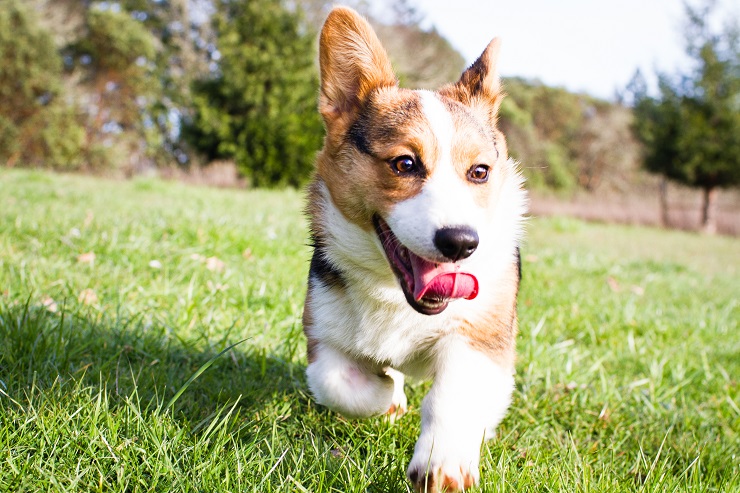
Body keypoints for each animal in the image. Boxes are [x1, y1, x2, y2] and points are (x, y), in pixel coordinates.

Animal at [302, 5, 528, 490]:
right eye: (405, 163)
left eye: (479, 172)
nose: (461, 243)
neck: (394, 294)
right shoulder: (323, 337)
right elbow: (338, 382)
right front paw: (388, 396)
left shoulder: (479, 336)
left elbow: (452, 396)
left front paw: (443, 461)